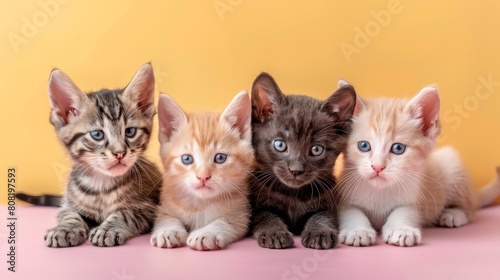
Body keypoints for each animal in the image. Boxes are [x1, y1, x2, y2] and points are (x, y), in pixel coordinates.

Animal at [44, 63, 162, 247]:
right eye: (97, 135)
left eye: (130, 132)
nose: (120, 153)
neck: (101, 185)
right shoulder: (68, 203)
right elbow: (68, 214)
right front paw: (64, 229)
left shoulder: (149, 208)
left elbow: (126, 213)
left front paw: (107, 229)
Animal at [149, 91, 254, 250]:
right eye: (187, 159)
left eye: (220, 158)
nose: (203, 177)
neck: (201, 203)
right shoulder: (166, 205)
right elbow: (167, 218)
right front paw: (168, 231)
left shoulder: (241, 214)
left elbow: (224, 222)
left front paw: (206, 233)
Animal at [249, 72, 356, 249]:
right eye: (280, 145)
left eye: (316, 149)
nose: (296, 170)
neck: (294, 194)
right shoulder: (257, 203)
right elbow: (265, 215)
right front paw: (274, 232)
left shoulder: (329, 200)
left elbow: (323, 216)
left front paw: (320, 232)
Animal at [336, 83, 484, 247]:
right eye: (363, 146)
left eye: (398, 148)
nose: (378, 167)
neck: (380, 192)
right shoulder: (343, 196)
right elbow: (350, 211)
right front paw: (357, 230)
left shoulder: (415, 197)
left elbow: (405, 211)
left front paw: (401, 229)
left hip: (451, 163)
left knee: (470, 208)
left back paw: (452, 214)